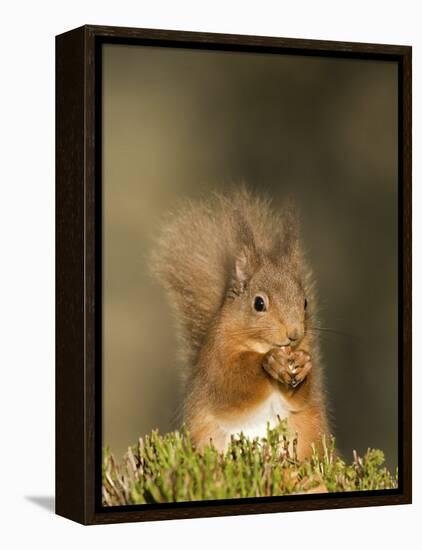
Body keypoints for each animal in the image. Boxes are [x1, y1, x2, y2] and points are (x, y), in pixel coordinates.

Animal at [152, 190, 330, 462]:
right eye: (259, 303)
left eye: (305, 302)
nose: (294, 334)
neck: (258, 344)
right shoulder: (215, 365)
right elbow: (231, 388)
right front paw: (269, 362)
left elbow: (301, 399)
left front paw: (302, 364)